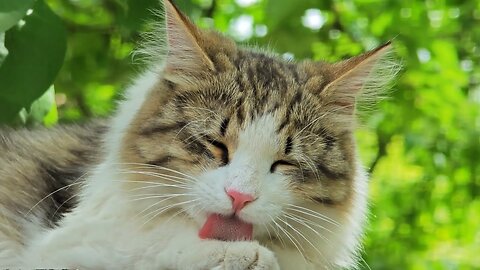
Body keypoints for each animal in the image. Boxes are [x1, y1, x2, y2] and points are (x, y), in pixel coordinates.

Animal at [0, 1, 398, 268]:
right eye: (216, 145)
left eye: (284, 162)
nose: (240, 197)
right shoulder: (66, 243)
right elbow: (148, 241)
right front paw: (244, 255)